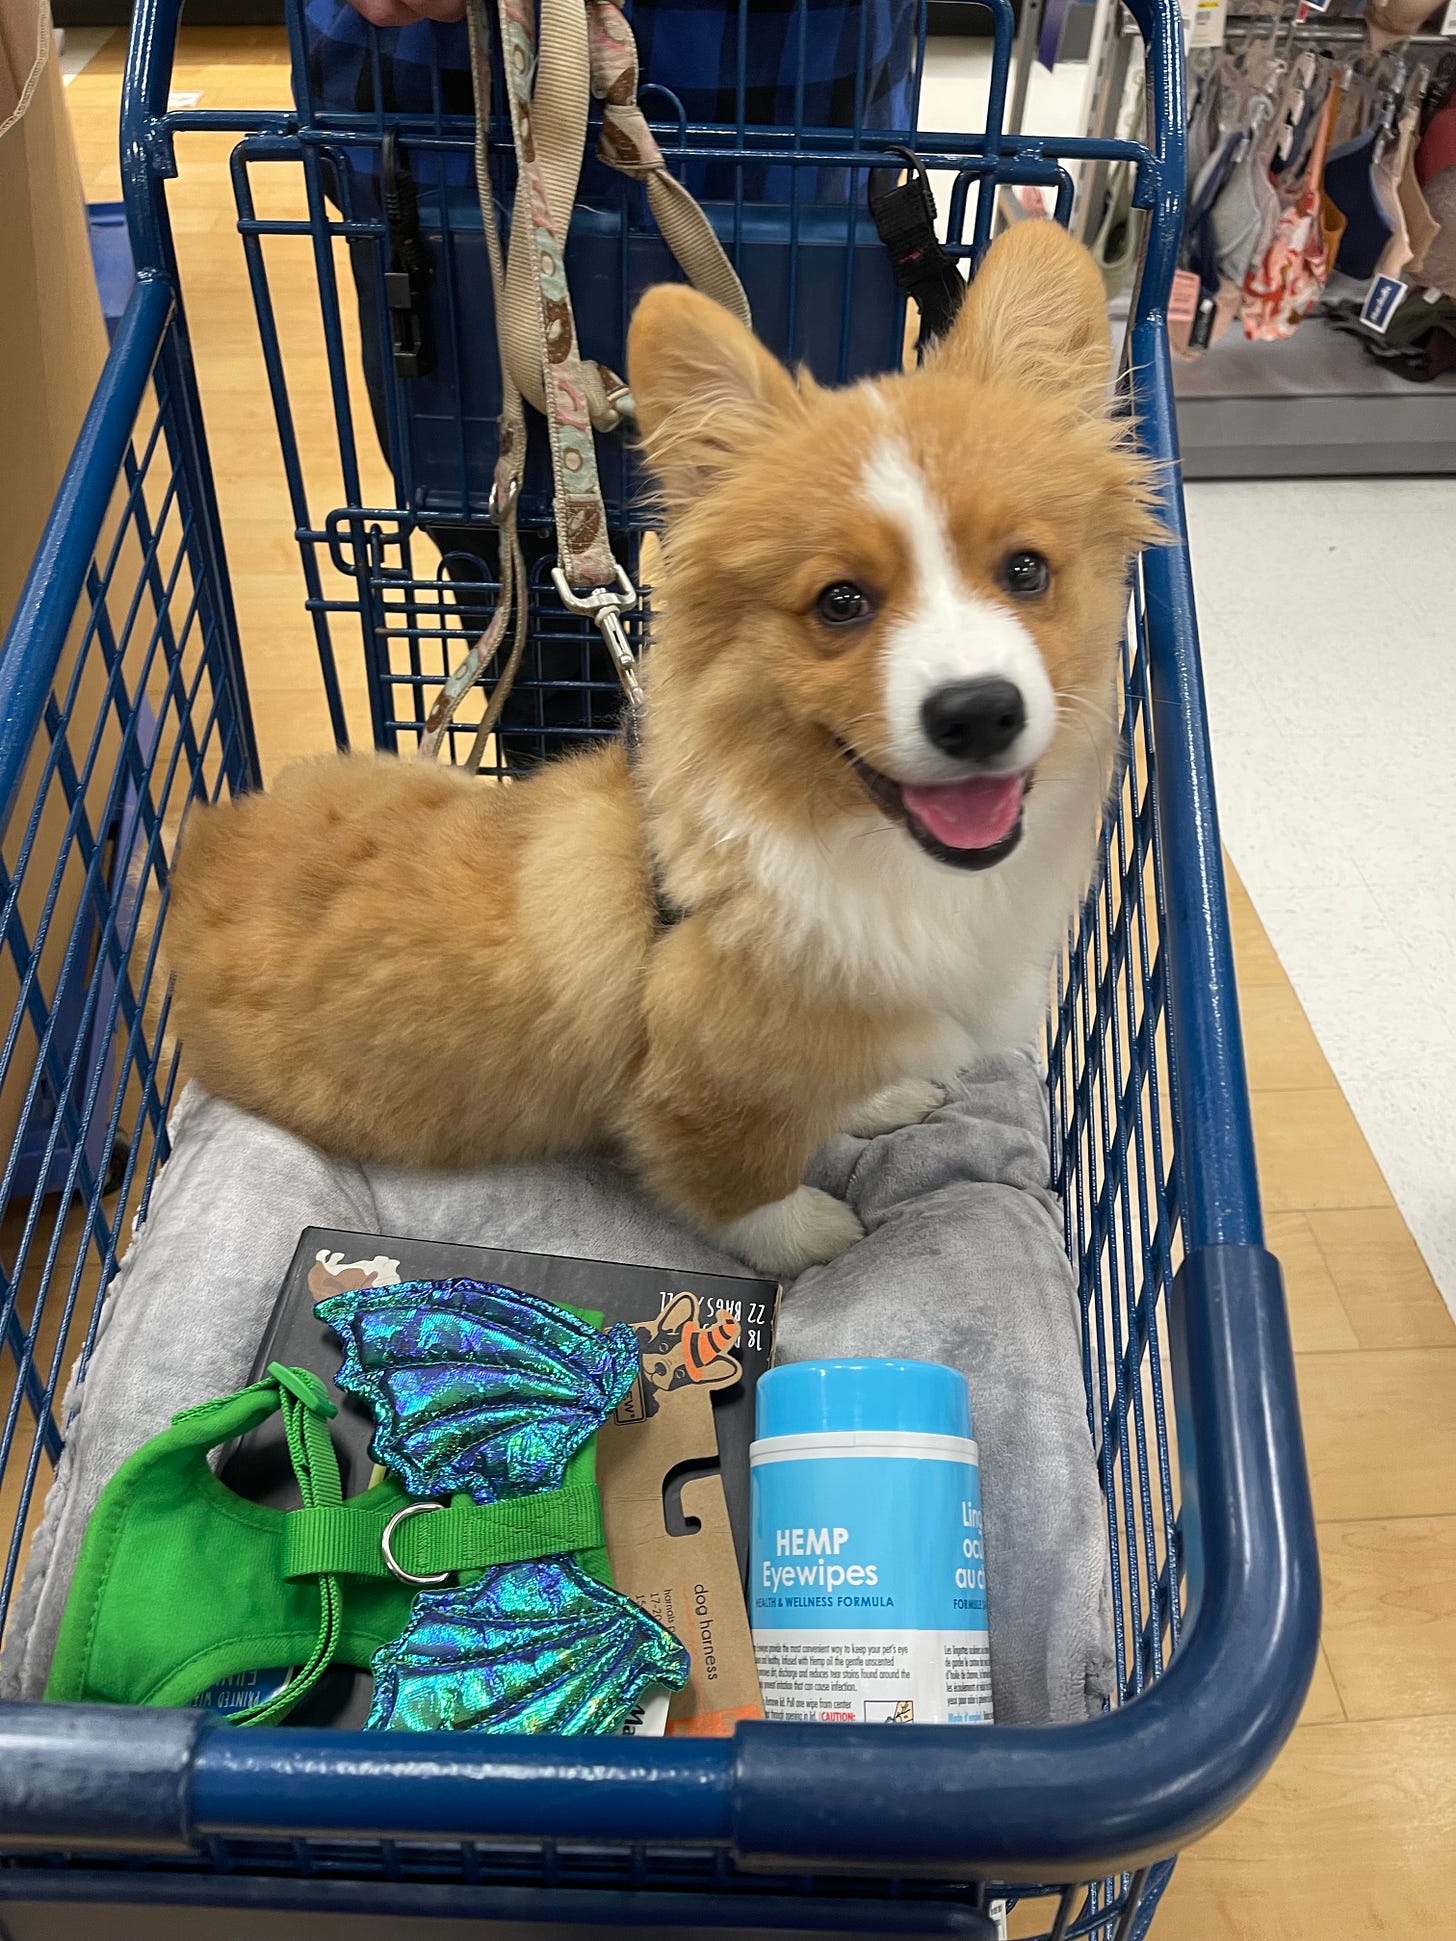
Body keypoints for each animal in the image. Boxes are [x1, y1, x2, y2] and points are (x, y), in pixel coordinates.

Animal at [167, 220, 1164, 1281]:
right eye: (841, 602)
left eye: (1026, 571)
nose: (978, 712)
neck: (857, 846)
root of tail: (200, 848)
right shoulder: (695, 1089)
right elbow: (737, 1179)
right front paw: (810, 1234)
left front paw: (878, 1096)